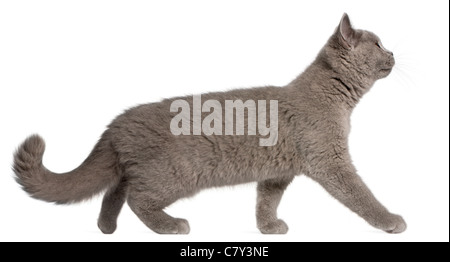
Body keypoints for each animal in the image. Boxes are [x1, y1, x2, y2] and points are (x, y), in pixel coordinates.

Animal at [13, 13, 408, 235]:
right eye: (377, 43)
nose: (393, 53)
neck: (333, 94)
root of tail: (117, 123)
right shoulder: (331, 161)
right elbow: (361, 194)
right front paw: (389, 220)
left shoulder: (277, 172)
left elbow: (266, 200)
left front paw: (267, 228)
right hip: (174, 174)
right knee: (137, 198)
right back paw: (171, 226)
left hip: (139, 170)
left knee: (115, 190)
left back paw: (106, 228)